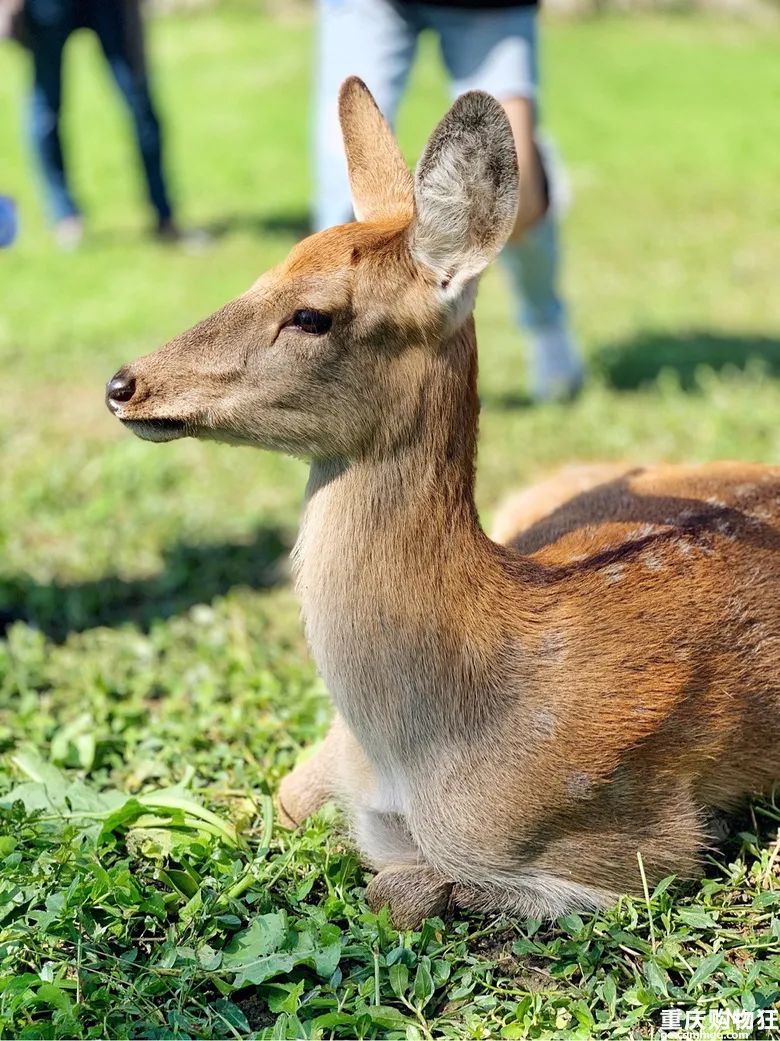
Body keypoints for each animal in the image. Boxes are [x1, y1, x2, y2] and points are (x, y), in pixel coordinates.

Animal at [106, 77, 778, 932]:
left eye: (312, 314)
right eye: (261, 272)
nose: (124, 384)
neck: (412, 749)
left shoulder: (633, 847)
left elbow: (394, 887)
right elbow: (270, 800)